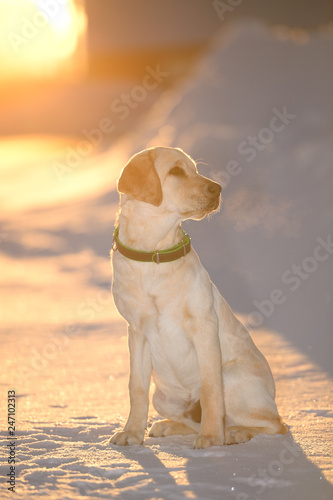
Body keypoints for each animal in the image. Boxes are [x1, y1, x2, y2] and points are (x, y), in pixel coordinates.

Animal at [109, 146, 286, 450]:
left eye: (194, 169)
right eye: (176, 171)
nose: (218, 188)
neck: (152, 255)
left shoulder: (203, 326)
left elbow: (210, 388)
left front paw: (212, 438)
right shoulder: (137, 332)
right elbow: (136, 388)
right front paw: (131, 433)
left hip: (233, 377)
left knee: (276, 424)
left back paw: (233, 433)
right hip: (162, 396)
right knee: (189, 419)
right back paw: (169, 426)